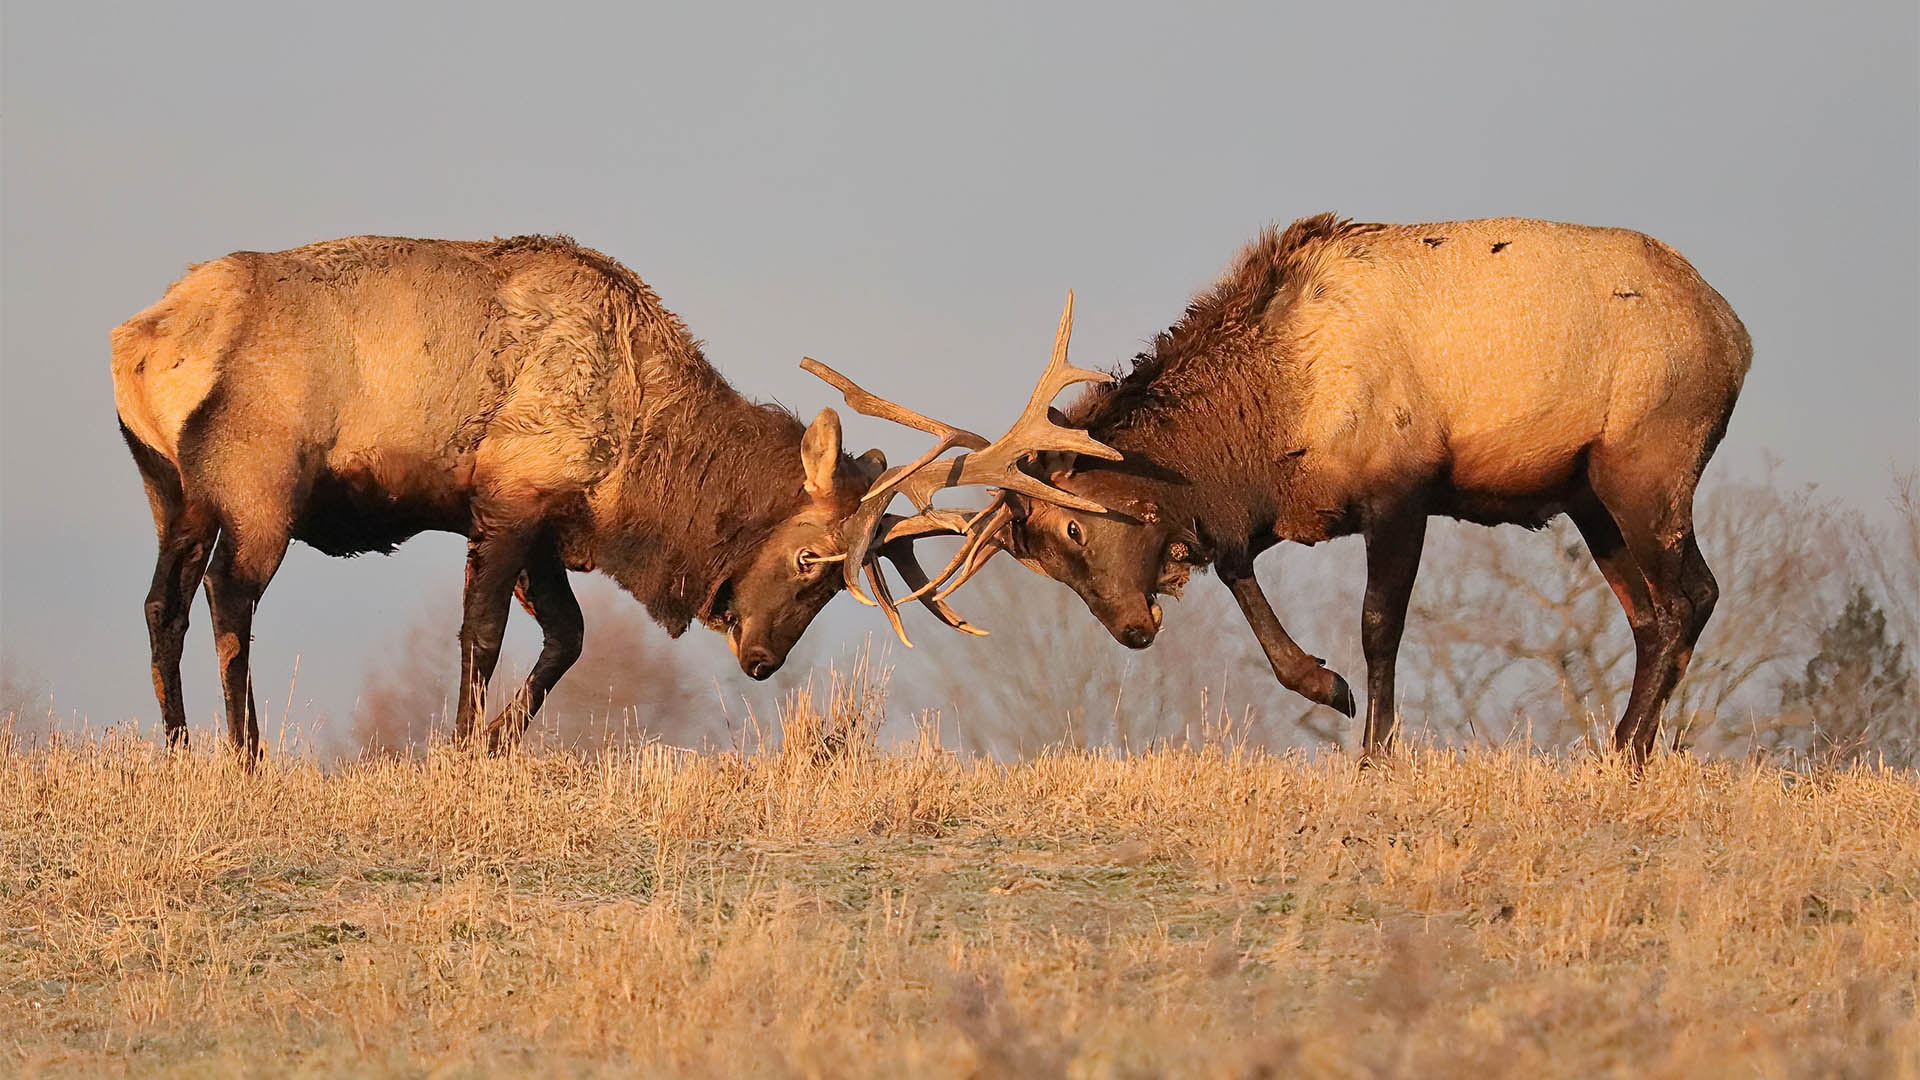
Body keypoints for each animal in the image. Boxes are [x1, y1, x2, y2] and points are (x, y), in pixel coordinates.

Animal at [111, 234, 1071, 756]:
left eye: (841, 578)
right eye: (810, 557)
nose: (762, 659)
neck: (636, 477)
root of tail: (141, 340)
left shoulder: (542, 526)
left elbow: (565, 640)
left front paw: (498, 744)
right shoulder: (512, 493)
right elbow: (483, 637)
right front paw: (459, 749)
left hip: (169, 490)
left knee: (163, 603)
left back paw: (180, 749)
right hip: (259, 484)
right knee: (228, 599)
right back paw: (245, 755)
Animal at [817, 215, 1752, 765]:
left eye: (1075, 530)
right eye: (1041, 559)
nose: (1131, 631)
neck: (1261, 420)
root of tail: (1737, 336)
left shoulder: (1402, 486)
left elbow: (1379, 624)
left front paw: (1375, 752)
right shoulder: (1269, 510)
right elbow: (1236, 571)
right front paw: (1321, 684)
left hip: (1646, 462)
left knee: (1690, 596)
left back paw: (1625, 747)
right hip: (1590, 496)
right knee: (1652, 613)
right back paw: (1633, 745)